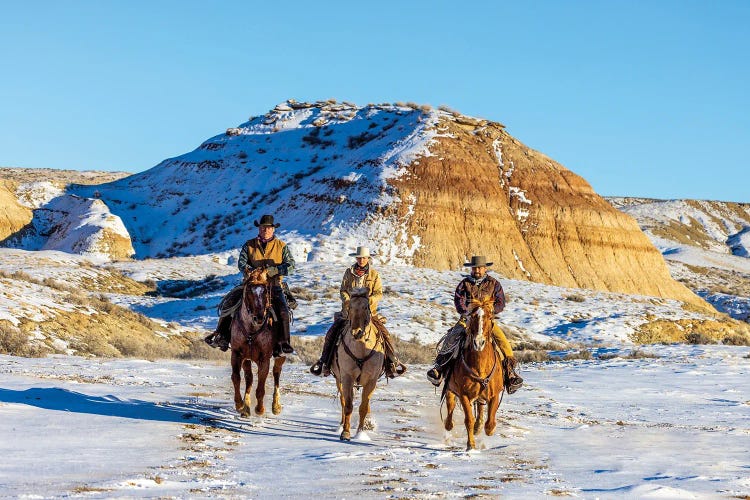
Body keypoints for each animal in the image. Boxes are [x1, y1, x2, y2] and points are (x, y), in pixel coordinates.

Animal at [231, 270, 286, 418]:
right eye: (249, 290)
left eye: (266, 291)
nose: (259, 318)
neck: (251, 330)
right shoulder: (237, 354)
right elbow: (236, 378)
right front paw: (240, 405)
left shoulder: (264, 359)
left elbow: (261, 387)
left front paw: (260, 409)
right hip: (247, 359)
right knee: (249, 378)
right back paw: (246, 408)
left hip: (280, 356)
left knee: (276, 373)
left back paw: (276, 406)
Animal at [332, 288, 384, 440]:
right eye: (350, 307)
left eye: (366, 307)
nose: (357, 332)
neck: (361, 348)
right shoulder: (347, 377)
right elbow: (348, 405)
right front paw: (345, 432)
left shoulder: (372, 380)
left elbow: (364, 407)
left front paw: (361, 432)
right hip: (339, 379)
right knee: (343, 400)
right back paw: (341, 424)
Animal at [446, 294, 506, 452]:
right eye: (472, 317)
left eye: (490, 317)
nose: (479, 343)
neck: (480, 366)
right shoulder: (464, 395)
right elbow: (469, 420)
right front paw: (470, 445)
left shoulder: (494, 394)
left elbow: (490, 422)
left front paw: (485, 429)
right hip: (450, 390)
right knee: (450, 405)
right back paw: (449, 425)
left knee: (480, 407)